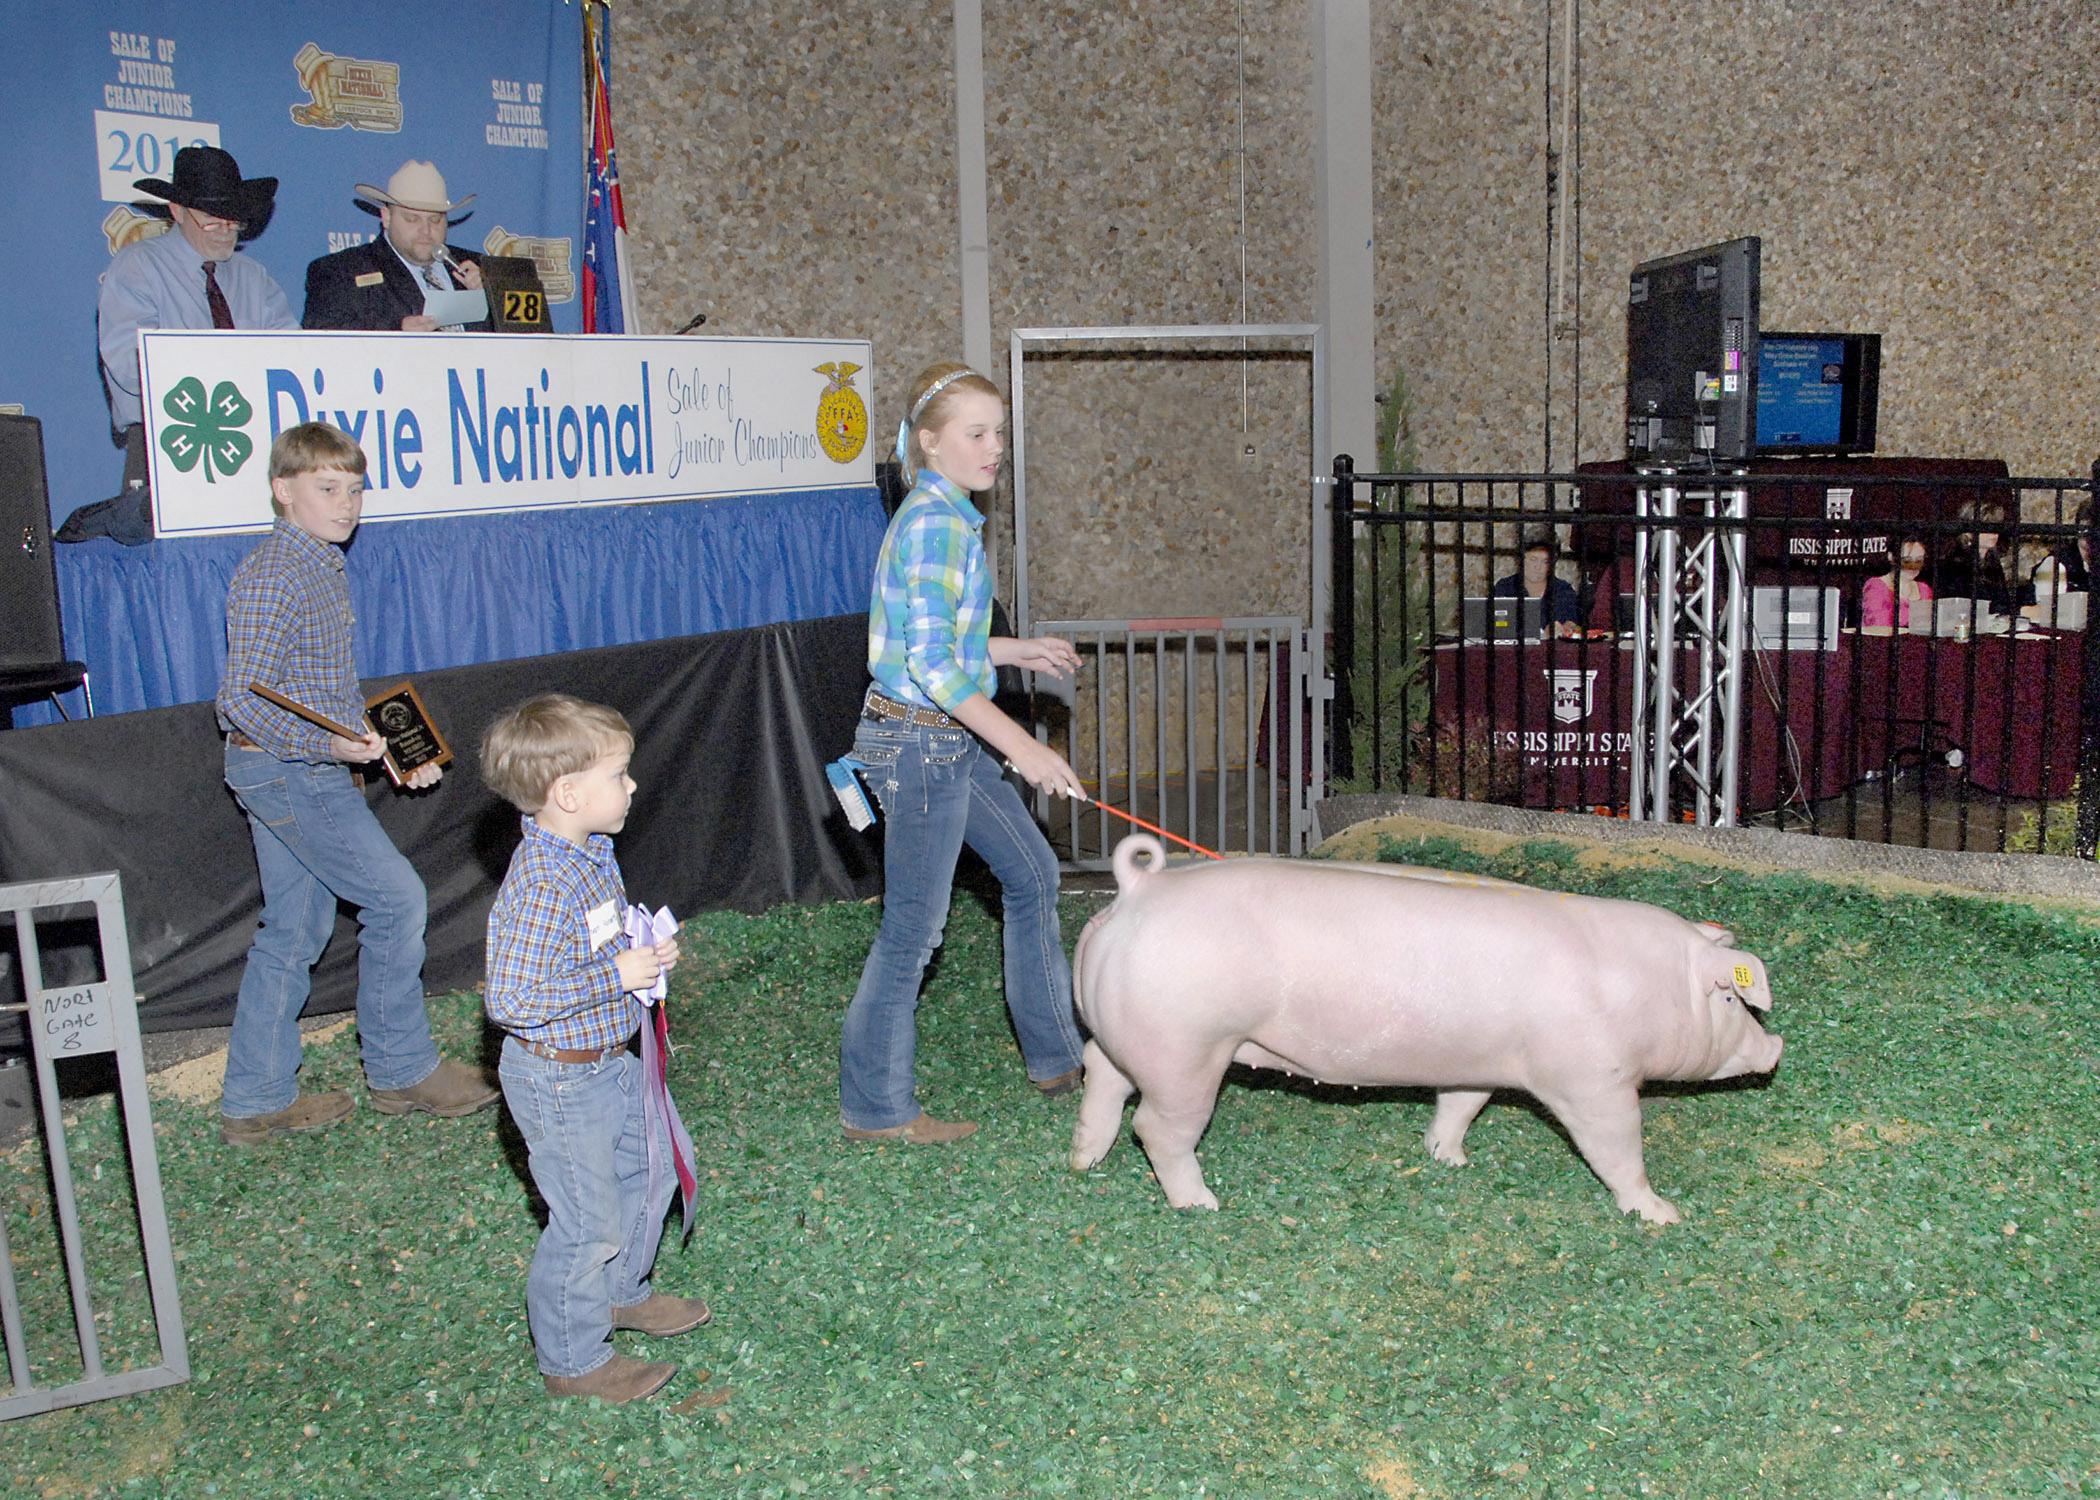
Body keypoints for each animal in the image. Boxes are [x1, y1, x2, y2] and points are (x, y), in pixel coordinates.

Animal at [1075, 836, 1780, 1218]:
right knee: (1156, 1127)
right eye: (1728, 999)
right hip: (1186, 1050)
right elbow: (1616, 1147)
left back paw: (1083, 1159)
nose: (1773, 1047)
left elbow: (1461, 1104)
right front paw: (1663, 1214)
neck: (1637, 987)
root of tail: (1137, 890)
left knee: (1100, 1073)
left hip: (1129, 1036)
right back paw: (1201, 1204)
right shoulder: (1592, 1081)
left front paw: (1449, 1160)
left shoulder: (1480, 1062)